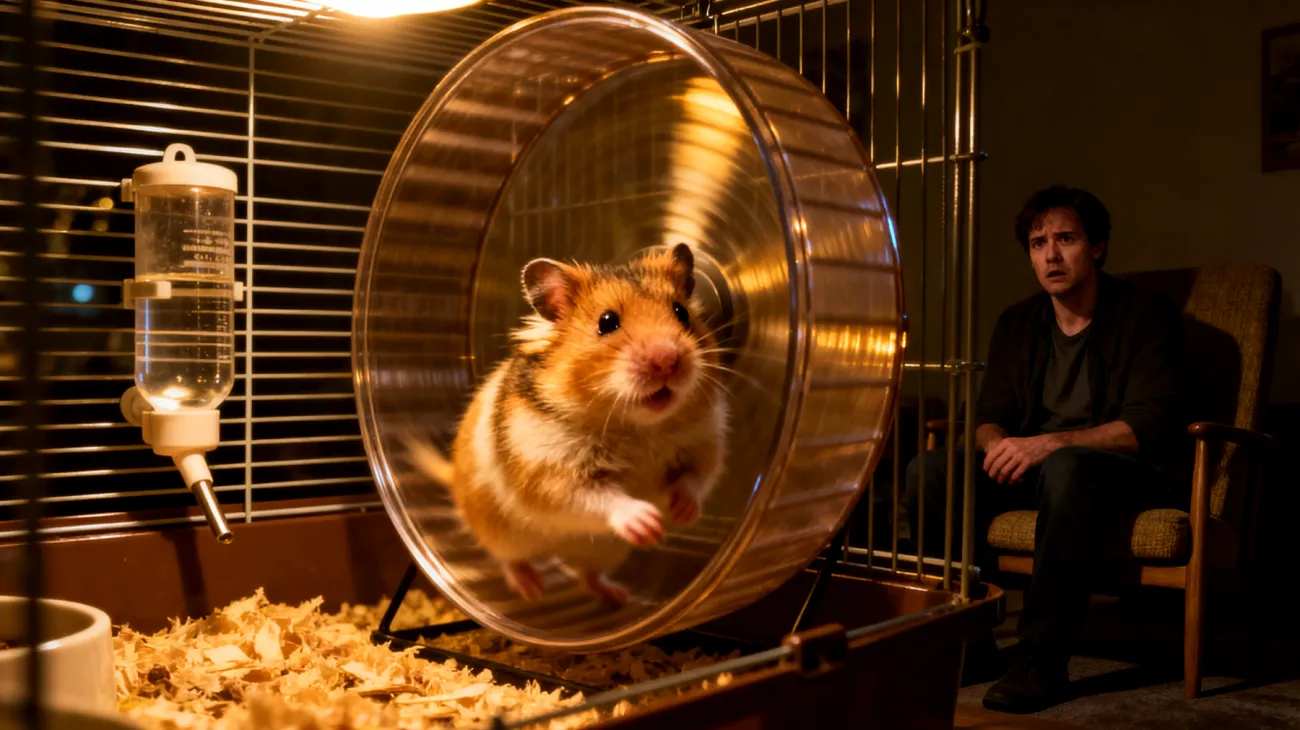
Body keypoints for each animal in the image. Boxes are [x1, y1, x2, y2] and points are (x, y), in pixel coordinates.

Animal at [404, 243, 730, 608]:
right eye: (607, 322)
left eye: (681, 312)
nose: (667, 361)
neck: (638, 427)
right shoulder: (550, 475)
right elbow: (598, 498)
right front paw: (647, 523)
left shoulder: (705, 444)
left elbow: (695, 478)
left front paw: (682, 513)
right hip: (498, 532)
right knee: (510, 560)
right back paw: (532, 590)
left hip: (604, 553)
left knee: (588, 575)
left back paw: (617, 596)